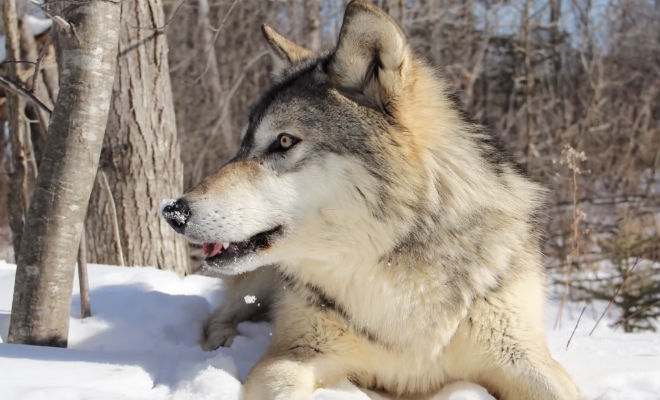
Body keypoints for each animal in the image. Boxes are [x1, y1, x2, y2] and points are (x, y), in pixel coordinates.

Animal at [162, 1, 580, 398]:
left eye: (283, 141)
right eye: (243, 146)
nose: (172, 211)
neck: (393, 265)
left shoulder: (524, 355)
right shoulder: (294, 353)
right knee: (218, 315)